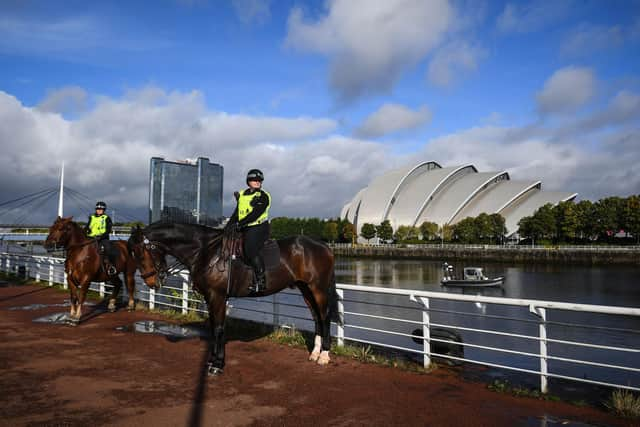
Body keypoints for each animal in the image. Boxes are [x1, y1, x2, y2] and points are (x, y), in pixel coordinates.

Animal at [124, 222, 336, 376]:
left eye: (140, 253)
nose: (151, 282)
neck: (205, 251)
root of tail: (323, 245)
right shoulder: (211, 298)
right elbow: (214, 327)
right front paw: (212, 360)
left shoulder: (217, 296)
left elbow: (218, 329)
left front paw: (217, 364)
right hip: (305, 289)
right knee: (317, 318)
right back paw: (315, 353)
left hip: (318, 288)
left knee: (325, 317)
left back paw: (324, 356)